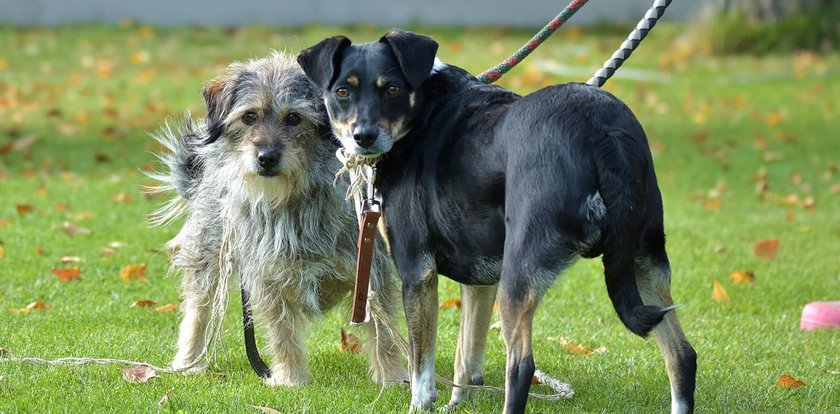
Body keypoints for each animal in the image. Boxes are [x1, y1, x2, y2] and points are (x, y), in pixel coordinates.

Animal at [146, 53, 408, 386]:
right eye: (249, 117)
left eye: (294, 118)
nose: (267, 158)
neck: (294, 199)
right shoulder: (269, 274)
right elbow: (282, 331)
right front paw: (290, 379)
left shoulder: (370, 267)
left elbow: (382, 330)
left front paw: (393, 377)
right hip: (208, 256)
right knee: (198, 310)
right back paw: (187, 361)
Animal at [298, 29, 700, 414]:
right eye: (342, 91)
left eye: (393, 88)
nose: (363, 137)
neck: (421, 112)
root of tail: (601, 131)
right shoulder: (479, 281)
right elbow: (466, 357)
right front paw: (457, 405)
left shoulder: (417, 272)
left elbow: (422, 367)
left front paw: (422, 404)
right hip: (644, 262)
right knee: (682, 355)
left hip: (519, 275)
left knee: (521, 366)